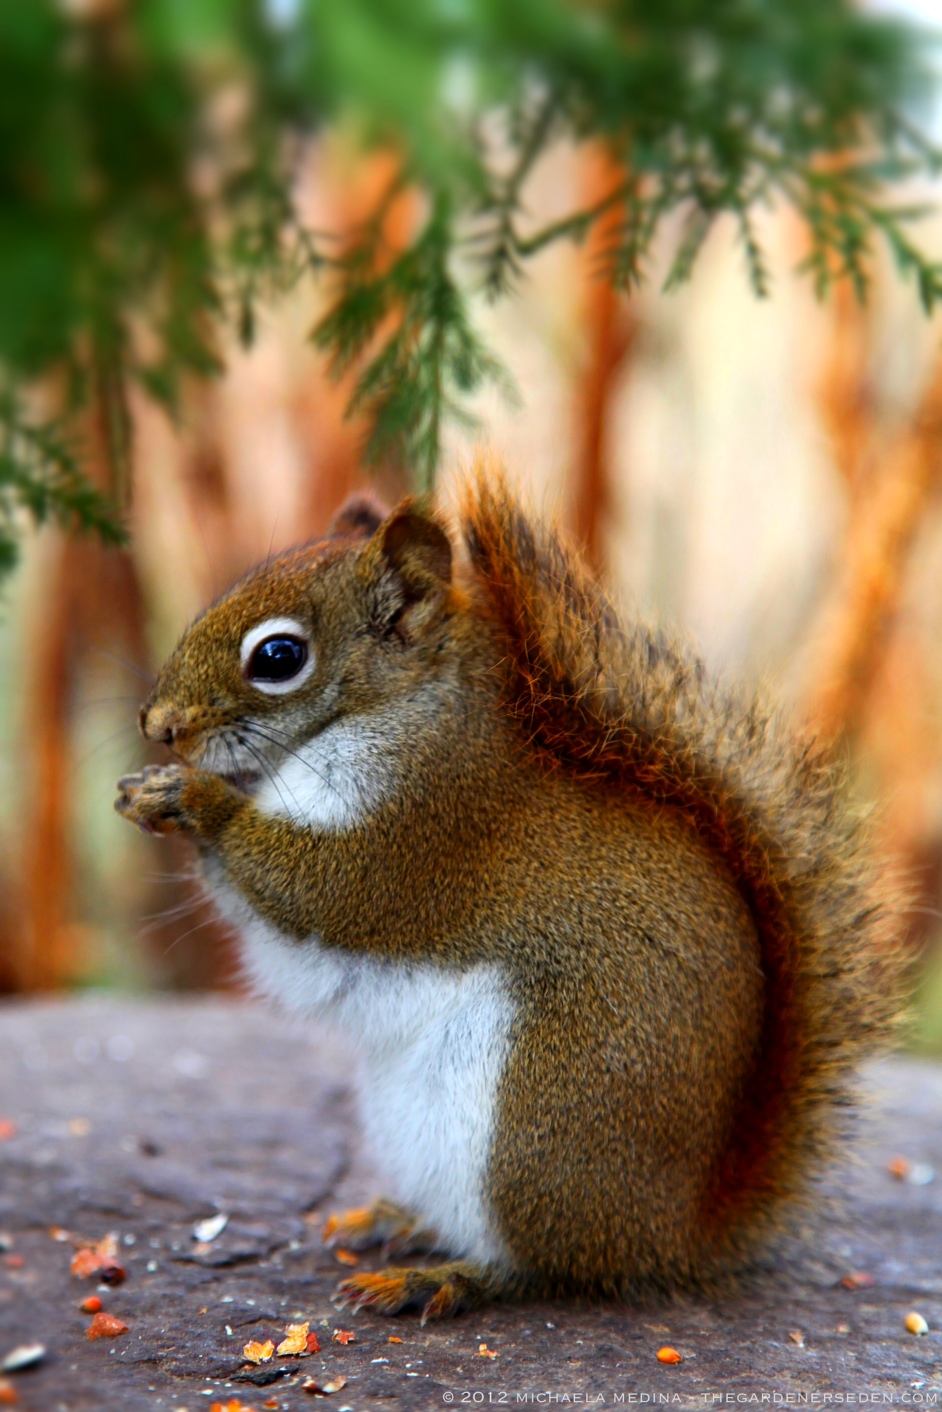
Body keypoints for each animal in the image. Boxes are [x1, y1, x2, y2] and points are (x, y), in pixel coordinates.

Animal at [115, 470, 902, 1322]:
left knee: (546, 1268)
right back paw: (398, 1222)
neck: (399, 710)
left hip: (532, 1129)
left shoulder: (426, 828)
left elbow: (322, 890)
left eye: (279, 656)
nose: (158, 725)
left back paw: (444, 1279)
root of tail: (676, 1231)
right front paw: (149, 792)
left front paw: (195, 800)